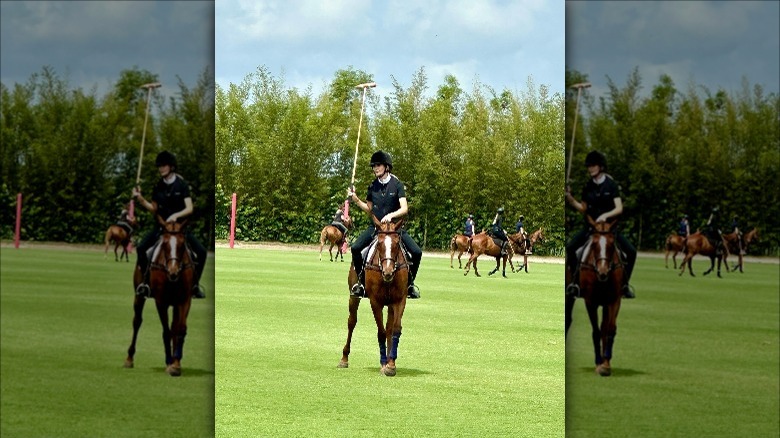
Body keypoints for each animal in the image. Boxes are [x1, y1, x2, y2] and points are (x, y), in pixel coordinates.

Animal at [124, 217, 194, 374]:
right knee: (137, 321)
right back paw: (129, 358)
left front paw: (176, 363)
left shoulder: (184, 300)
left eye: (182, 245)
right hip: (139, 295)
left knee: (174, 326)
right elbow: (166, 331)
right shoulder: (161, 301)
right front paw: (169, 362)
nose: (173, 272)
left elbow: (180, 328)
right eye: (165, 244)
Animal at [336, 216, 408, 376]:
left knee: (389, 328)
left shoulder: (399, 300)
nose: (388, 272)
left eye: (396, 243)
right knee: (352, 322)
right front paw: (383, 364)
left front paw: (391, 365)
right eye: (379, 243)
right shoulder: (376, 301)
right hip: (353, 296)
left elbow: (395, 329)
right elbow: (380, 332)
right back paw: (344, 359)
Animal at [564, 217, 624, 374]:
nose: (603, 272)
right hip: (569, 295)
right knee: (568, 319)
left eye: (612, 244)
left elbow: (610, 328)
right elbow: (596, 331)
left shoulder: (614, 300)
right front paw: (598, 362)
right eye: (594, 244)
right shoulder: (590, 301)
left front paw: (606, 364)